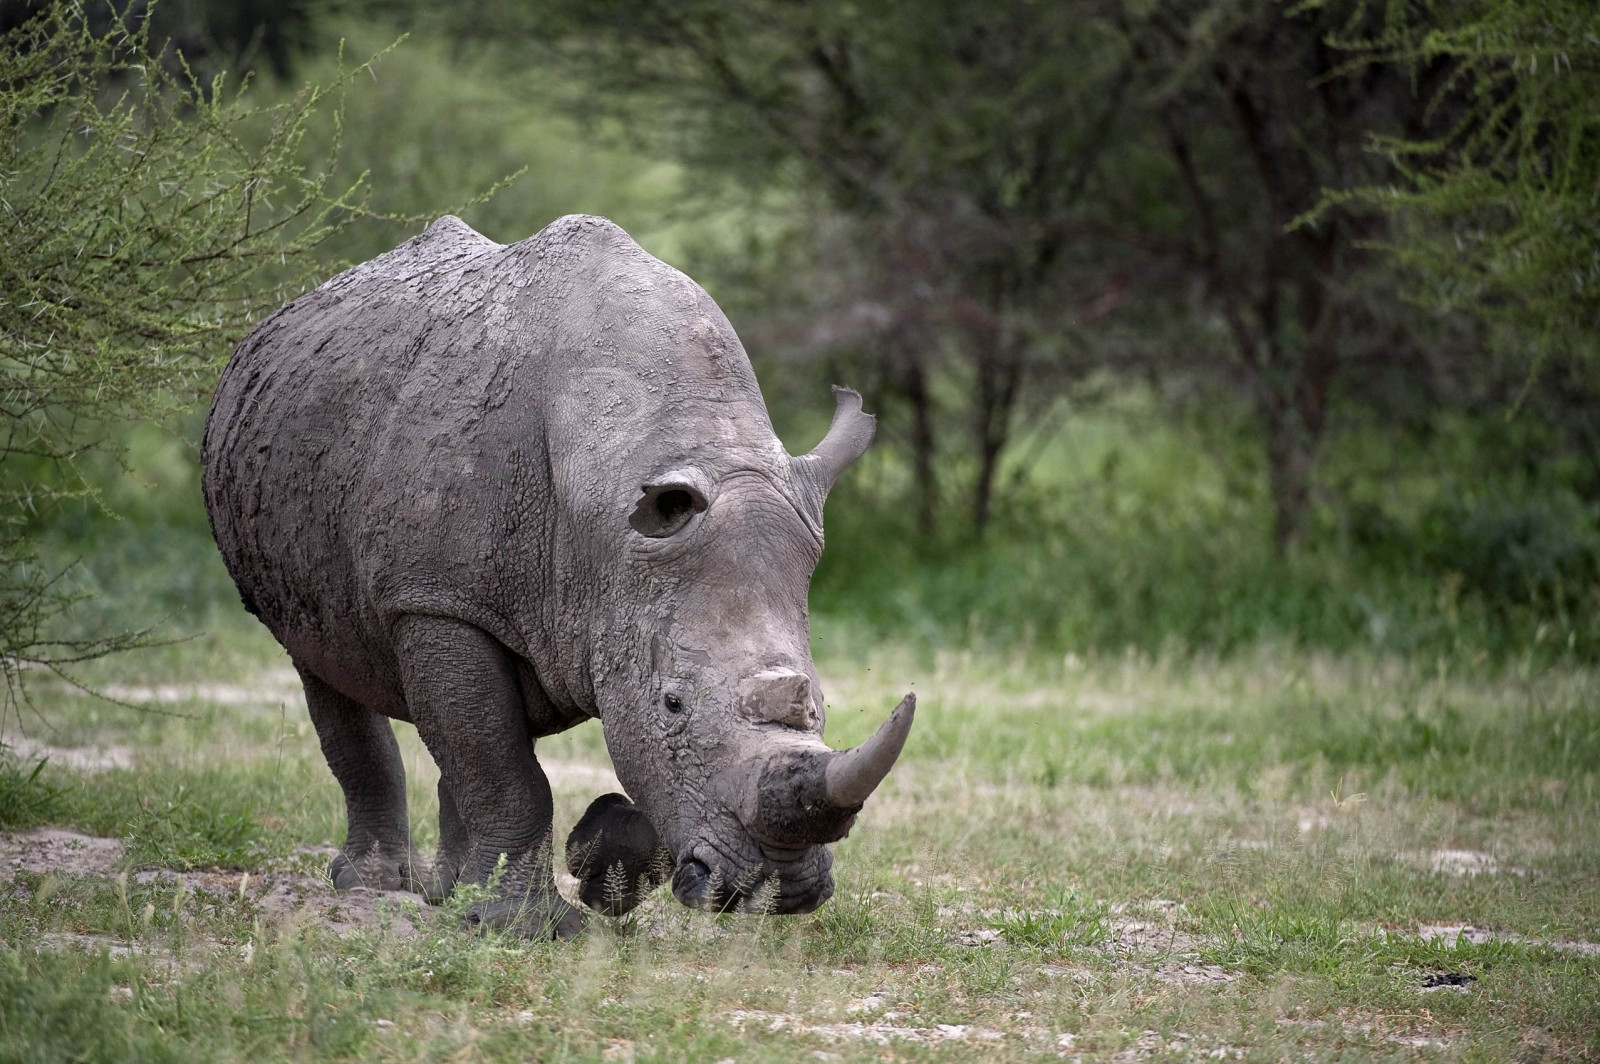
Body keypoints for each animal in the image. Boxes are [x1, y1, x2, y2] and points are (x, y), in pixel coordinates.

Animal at [201, 214, 914, 936]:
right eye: (672, 704)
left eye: (819, 704)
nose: (780, 890)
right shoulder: (436, 600)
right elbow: (506, 770)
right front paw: (527, 928)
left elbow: (506, 752)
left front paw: (596, 860)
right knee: (326, 667)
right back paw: (374, 888)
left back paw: (449, 894)